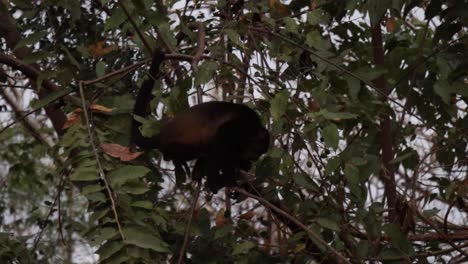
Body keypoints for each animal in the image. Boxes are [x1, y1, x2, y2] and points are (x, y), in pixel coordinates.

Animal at [132, 49, 270, 193]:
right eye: (257, 152)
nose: (255, 159)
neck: (254, 130)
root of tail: (163, 134)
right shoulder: (244, 124)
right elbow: (222, 139)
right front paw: (226, 179)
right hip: (179, 147)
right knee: (207, 148)